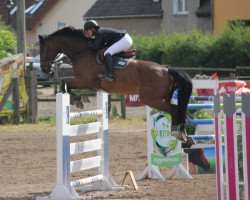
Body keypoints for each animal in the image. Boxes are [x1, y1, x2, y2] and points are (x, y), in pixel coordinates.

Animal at [37, 26, 193, 143]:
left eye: (43, 49)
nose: (44, 69)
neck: (83, 53)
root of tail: (166, 70)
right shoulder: (88, 84)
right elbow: (66, 84)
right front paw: (79, 99)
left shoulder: (84, 80)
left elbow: (65, 84)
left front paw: (78, 100)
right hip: (162, 97)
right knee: (177, 110)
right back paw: (183, 134)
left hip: (151, 99)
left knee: (174, 109)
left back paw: (178, 133)